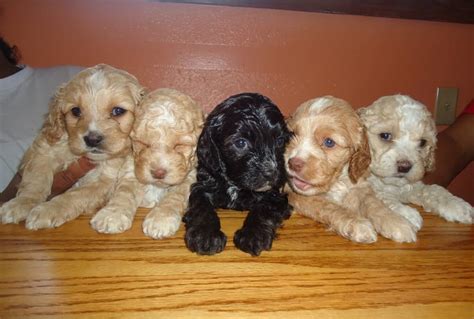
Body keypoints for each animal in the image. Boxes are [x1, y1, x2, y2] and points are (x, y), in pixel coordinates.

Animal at [0, 63, 144, 229]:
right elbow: (35, 180)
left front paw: (48, 210)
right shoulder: (44, 152)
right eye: (76, 111)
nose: (92, 139)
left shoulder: (105, 180)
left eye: (118, 111)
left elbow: (75, 195)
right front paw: (20, 203)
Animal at [90, 89, 205, 239]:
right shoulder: (131, 171)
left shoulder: (189, 176)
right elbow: (124, 192)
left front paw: (161, 219)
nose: (158, 173)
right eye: (143, 144)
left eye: (180, 145)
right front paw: (111, 215)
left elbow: (175, 195)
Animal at [182, 93, 290, 258]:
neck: (235, 183)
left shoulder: (275, 195)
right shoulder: (204, 183)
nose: (271, 173)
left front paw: (253, 235)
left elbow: (263, 208)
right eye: (240, 143)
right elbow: (201, 206)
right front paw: (205, 235)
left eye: (279, 140)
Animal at [286, 96, 414, 244]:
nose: (293, 163)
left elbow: (373, 203)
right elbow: (328, 205)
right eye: (292, 135)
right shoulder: (294, 193)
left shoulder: (360, 185)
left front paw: (397, 222)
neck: (338, 181)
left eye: (329, 142)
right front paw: (357, 224)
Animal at [358, 94, 472, 230]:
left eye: (422, 142)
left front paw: (457, 206)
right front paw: (407, 215)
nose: (404, 166)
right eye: (385, 135)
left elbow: (433, 190)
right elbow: (380, 196)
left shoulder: (412, 186)